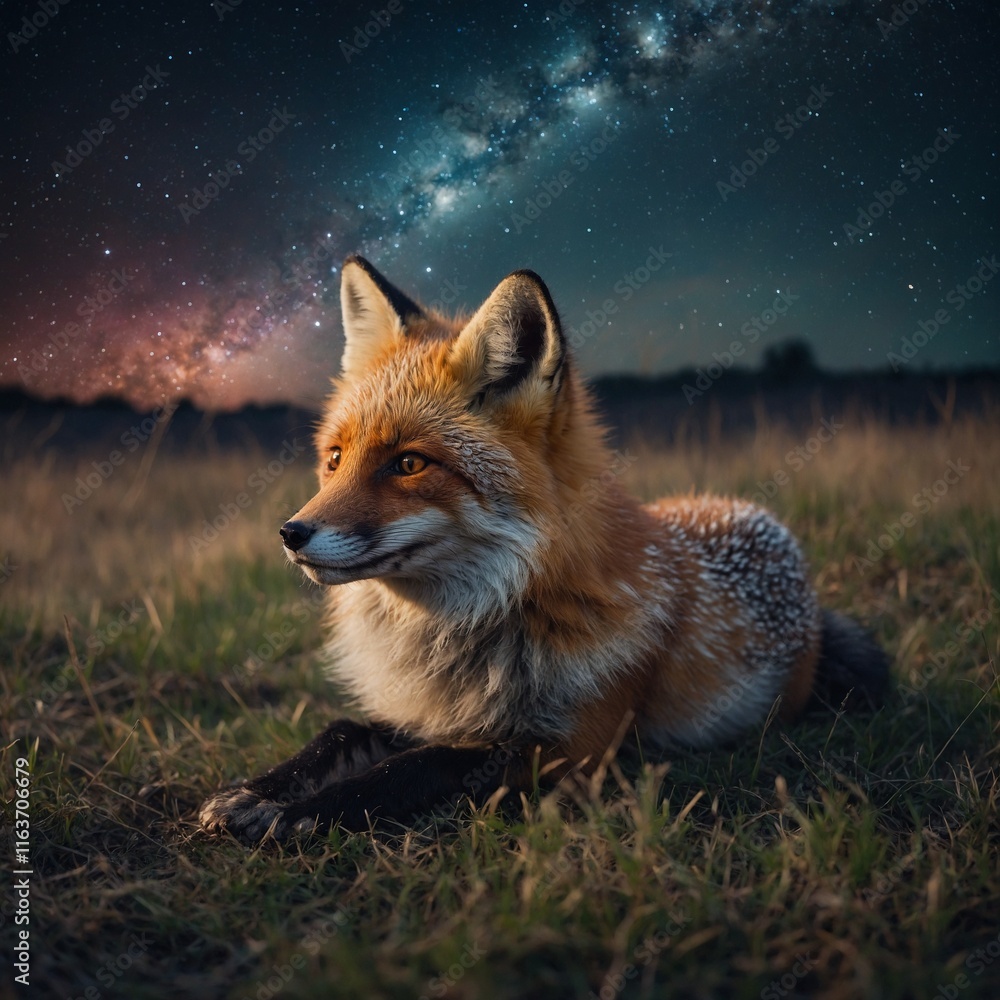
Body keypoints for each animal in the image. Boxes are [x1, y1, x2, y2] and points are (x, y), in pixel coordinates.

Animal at [199, 254, 888, 843]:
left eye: (410, 464)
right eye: (335, 460)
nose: (291, 533)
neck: (470, 633)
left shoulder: (571, 751)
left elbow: (420, 766)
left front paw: (305, 811)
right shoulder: (429, 710)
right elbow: (342, 731)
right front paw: (257, 790)